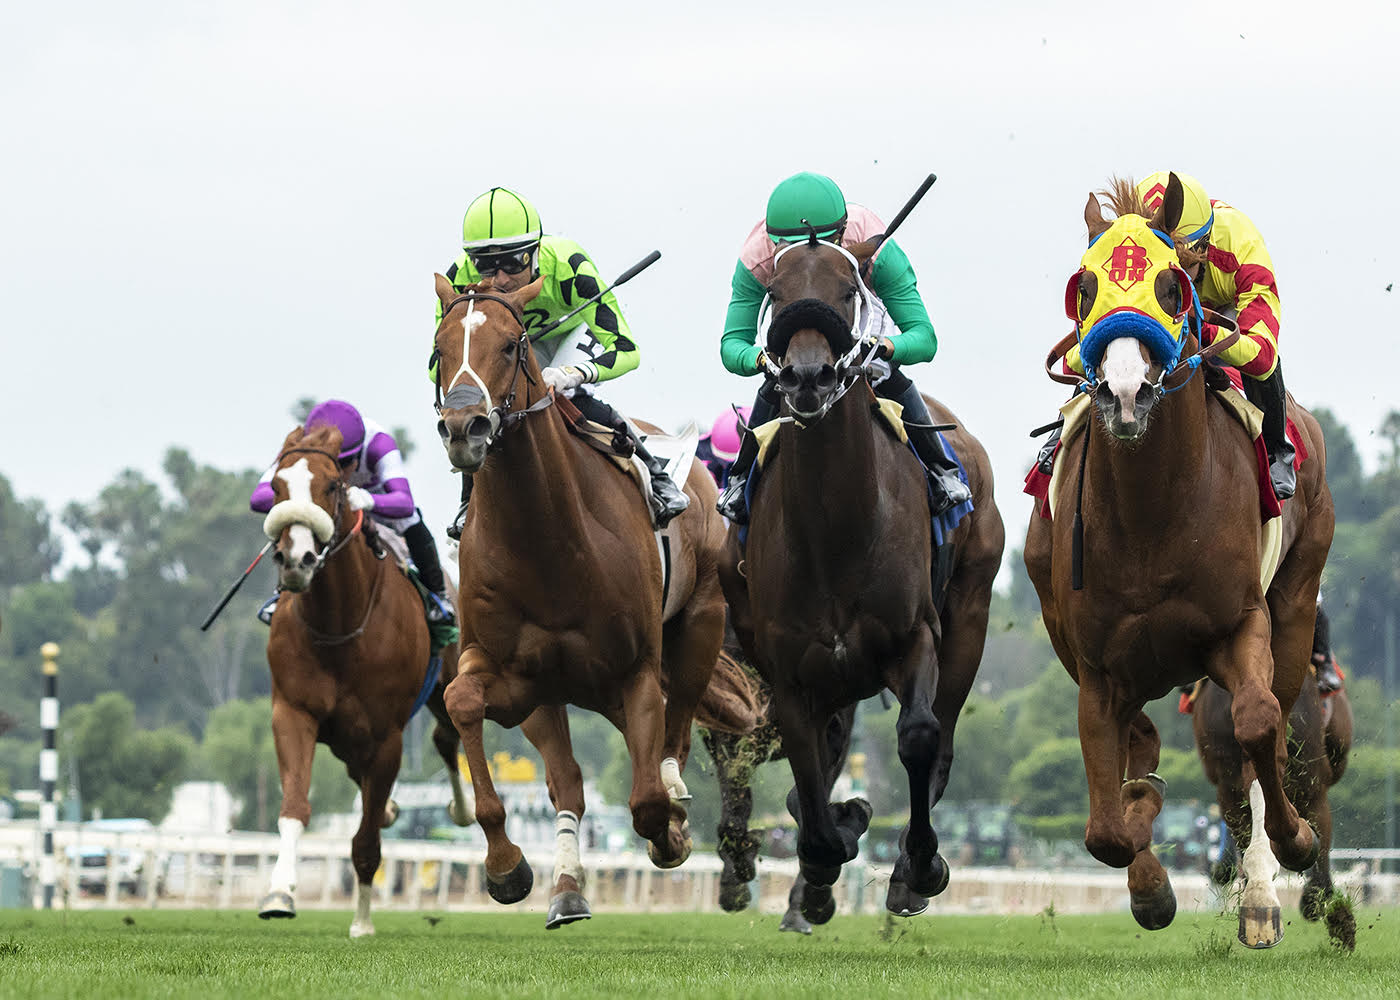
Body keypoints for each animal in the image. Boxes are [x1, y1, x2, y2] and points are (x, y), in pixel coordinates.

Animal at [256, 424, 472, 937]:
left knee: (447, 735)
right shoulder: (293, 712)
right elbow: (295, 807)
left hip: (443, 683)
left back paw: (462, 809)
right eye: (275, 486)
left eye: (332, 485)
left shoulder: (388, 736)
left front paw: (362, 922)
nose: (297, 559)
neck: (339, 624)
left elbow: (366, 842)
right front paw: (279, 892)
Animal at [431, 274, 729, 929]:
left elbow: (646, 800)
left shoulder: (636, 668)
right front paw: (506, 867)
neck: (549, 544)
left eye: (513, 343)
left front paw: (670, 832)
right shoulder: (513, 676)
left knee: (675, 727)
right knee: (568, 779)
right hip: (555, 691)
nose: (466, 428)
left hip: (701, 621)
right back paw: (566, 888)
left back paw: (674, 801)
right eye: (438, 347)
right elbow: (462, 701)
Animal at [718, 235, 1005, 924]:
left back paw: (904, 872)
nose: (807, 376)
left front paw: (919, 867)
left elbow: (920, 737)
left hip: (970, 616)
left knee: (943, 738)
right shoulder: (788, 668)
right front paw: (831, 842)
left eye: (849, 289)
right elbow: (808, 769)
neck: (835, 528)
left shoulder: (915, 636)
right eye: (776, 293)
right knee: (824, 756)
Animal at [1023, 174, 1335, 947]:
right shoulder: (1096, 665)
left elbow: (1257, 725)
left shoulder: (1240, 626)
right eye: (1084, 287)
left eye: (1170, 284)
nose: (1125, 393)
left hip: (1295, 607)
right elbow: (1106, 827)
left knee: (1265, 730)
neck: (1152, 516)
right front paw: (1149, 874)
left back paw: (1263, 895)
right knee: (1142, 741)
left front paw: (1293, 845)